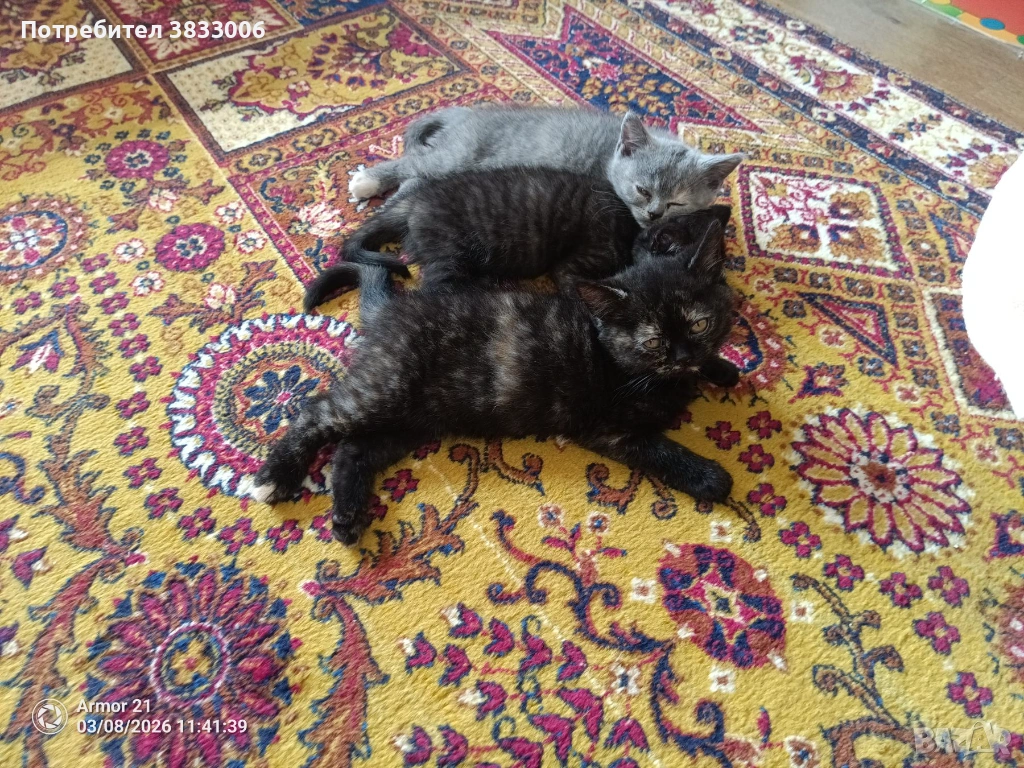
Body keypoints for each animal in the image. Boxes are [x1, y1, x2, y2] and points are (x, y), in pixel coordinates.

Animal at [254, 221, 739, 544]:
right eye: (654, 341)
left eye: (699, 324)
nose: (683, 357)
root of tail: (391, 308)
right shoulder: (611, 429)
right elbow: (662, 451)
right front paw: (710, 477)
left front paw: (721, 368)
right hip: (385, 389)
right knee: (319, 412)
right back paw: (275, 476)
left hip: (413, 420)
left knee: (354, 450)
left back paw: (348, 516)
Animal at [304, 165, 732, 310]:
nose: (727, 211)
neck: (630, 231)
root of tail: (416, 201)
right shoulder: (574, 265)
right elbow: (575, 290)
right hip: (449, 254)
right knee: (436, 291)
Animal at [348, 107, 744, 226]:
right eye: (643, 190)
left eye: (677, 202)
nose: (654, 214)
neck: (607, 157)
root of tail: (467, 111)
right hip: (457, 155)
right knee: (412, 162)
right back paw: (366, 181)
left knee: (416, 176)